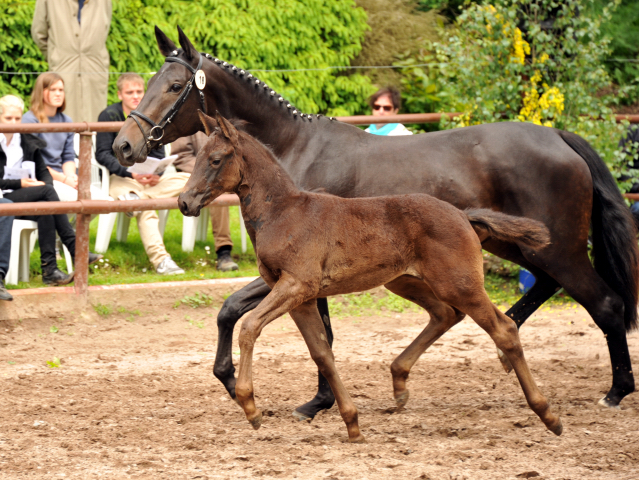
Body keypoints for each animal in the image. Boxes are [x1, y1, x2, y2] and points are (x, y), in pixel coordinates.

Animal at [114, 27, 639, 416]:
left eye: (175, 86)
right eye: (151, 82)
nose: (123, 145)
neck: (291, 152)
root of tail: (560, 137)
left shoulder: (299, 274)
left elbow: (249, 315)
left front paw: (306, 399)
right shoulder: (307, 277)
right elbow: (286, 327)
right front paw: (305, 397)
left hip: (557, 248)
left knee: (606, 304)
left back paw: (615, 392)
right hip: (518, 244)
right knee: (543, 288)